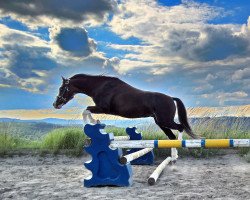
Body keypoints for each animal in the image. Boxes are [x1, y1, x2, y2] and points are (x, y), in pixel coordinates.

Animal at [52, 73, 197, 141]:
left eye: (61, 88)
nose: (55, 104)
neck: (100, 86)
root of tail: (171, 98)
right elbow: (87, 110)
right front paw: (95, 123)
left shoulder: (104, 109)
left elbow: (86, 110)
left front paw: (92, 123)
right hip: (161, 122)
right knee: (171, 136)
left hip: (165, 120)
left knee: (180, 127)